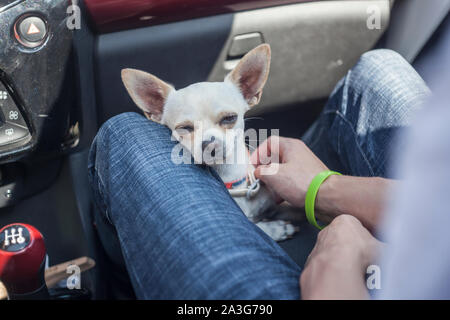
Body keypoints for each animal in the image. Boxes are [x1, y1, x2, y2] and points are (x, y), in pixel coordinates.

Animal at [121, 44, 298, 240]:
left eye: (229, 118)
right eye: (184, 128)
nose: (209, 144)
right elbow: (261, 229)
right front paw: (276, 228)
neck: (232, 181)